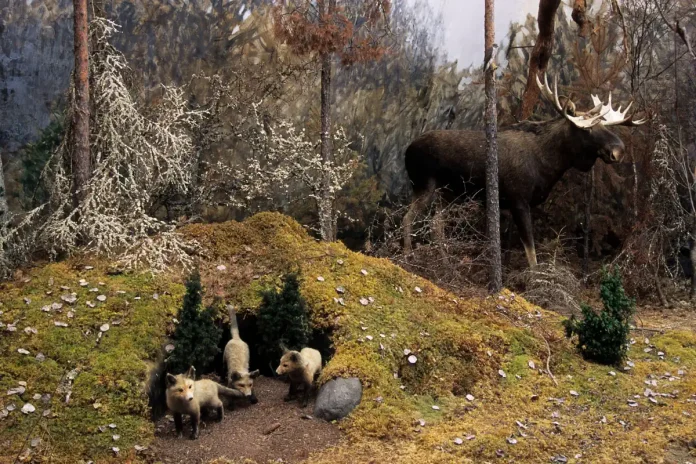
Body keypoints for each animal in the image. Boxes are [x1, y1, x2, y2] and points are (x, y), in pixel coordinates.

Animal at [402, 74, 648, 266]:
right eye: (586, 129)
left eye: (604, 124)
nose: (618, 150)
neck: (548, 164)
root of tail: (406, 150)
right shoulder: (518, 199)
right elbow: (531, 253)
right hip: (425, 184)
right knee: (408, 217)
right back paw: (408, 257)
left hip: (448, 193)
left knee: (436, 224)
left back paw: (445, 263)